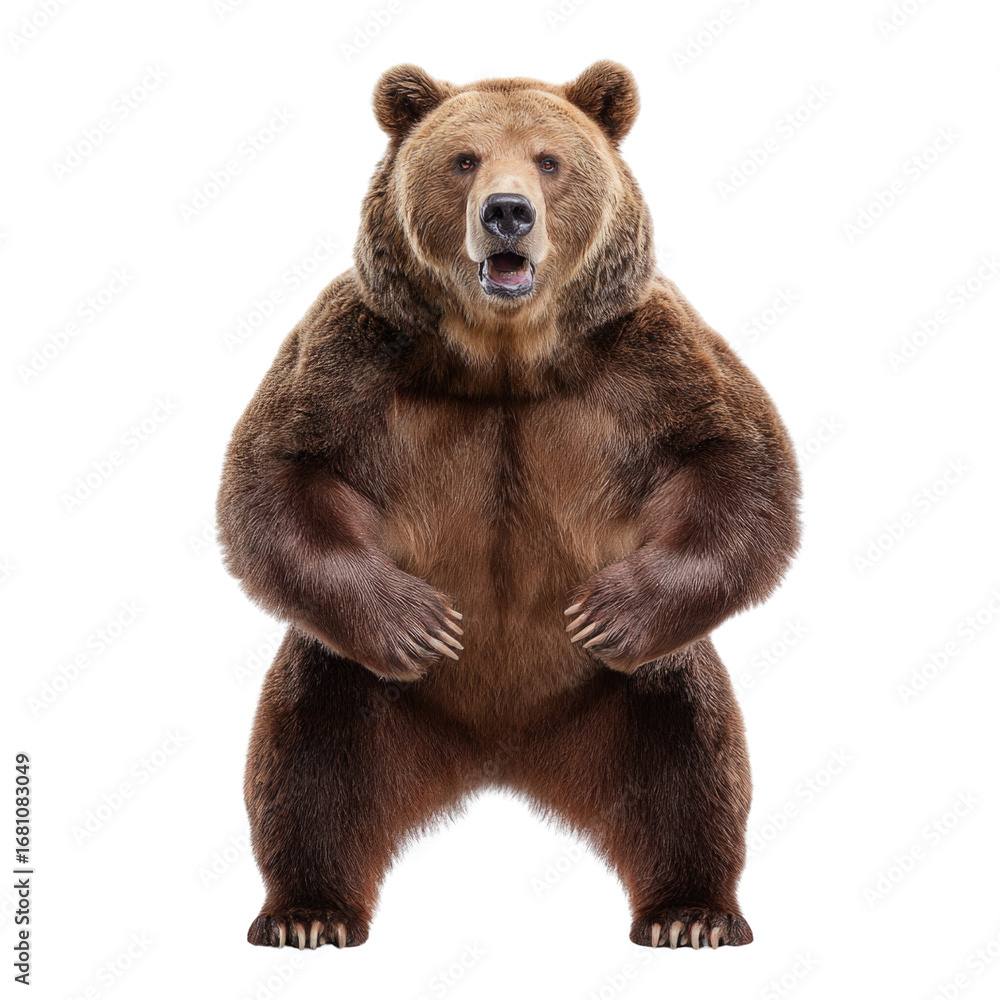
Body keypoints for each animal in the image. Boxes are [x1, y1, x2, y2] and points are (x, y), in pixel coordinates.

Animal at [217, 60, 801, 952]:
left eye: (549, 160)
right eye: (463, 159)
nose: (507, 213)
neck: (505, 353)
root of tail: (499, 755)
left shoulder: (648, 352)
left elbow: (739, 462)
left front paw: (607, 613)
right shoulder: (356, 350)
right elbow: (276, 474)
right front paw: (420, 623)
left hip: (636, 696)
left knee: (695, 758)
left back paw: (691, 911)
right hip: (355, 686)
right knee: (305, 753)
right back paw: (307, 912)